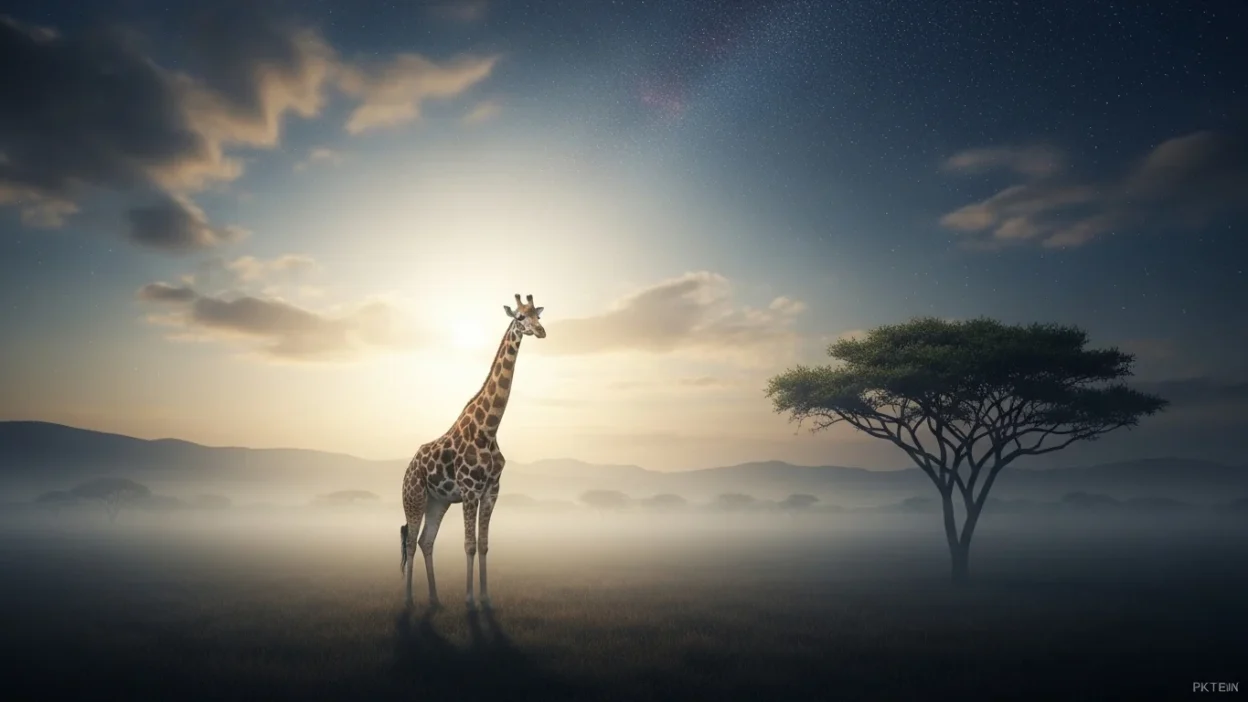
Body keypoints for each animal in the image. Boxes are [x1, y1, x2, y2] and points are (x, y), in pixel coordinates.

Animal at [399, 293, 546, 610]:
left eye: (538, 315)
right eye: (520, 317)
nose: (541, 331)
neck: (488, 430)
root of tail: (408, 468)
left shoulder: (491, 490)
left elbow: (484, 545)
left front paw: (486, 598)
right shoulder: (469, 491)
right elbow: (468, 545)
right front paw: (469, 599)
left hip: (438, 501)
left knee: (425, 541)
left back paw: (435, 599)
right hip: (414, 497)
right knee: (410, 541)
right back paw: (408, 600)